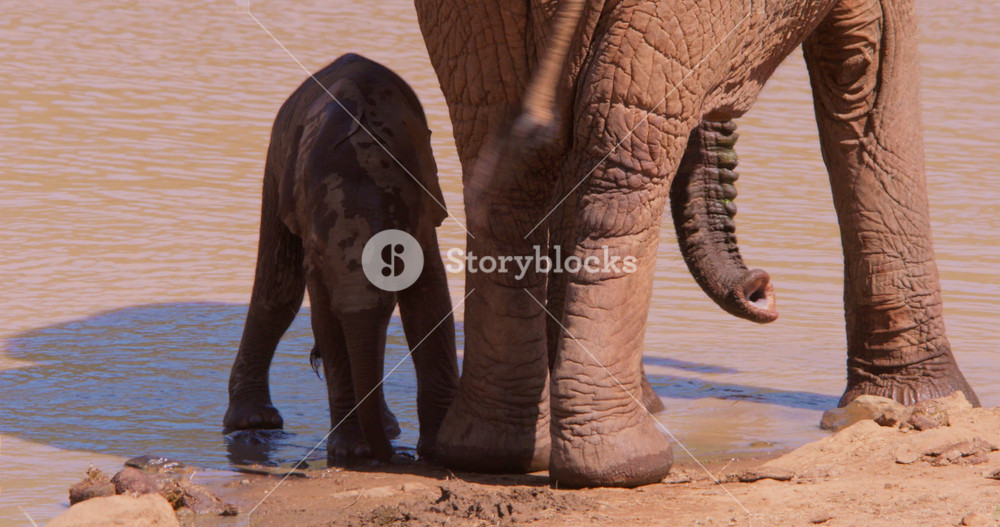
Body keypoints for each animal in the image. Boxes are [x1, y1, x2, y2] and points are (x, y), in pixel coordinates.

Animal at [223, 53, 459, 462]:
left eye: (397, 252)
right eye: (317, 251)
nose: (397, 457)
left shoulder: (421, 211)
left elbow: (430, 302)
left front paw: (435, 450)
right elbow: (324, 315)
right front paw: (353, 452)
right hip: (276, 159)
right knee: (278, 289)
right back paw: (253, 422)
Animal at [414, 0, 980, 487]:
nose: (761, 290)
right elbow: (870, 69)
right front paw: (936, 400)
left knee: (510, 153)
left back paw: (494, 453)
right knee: (619, 158)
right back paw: (624, 465)